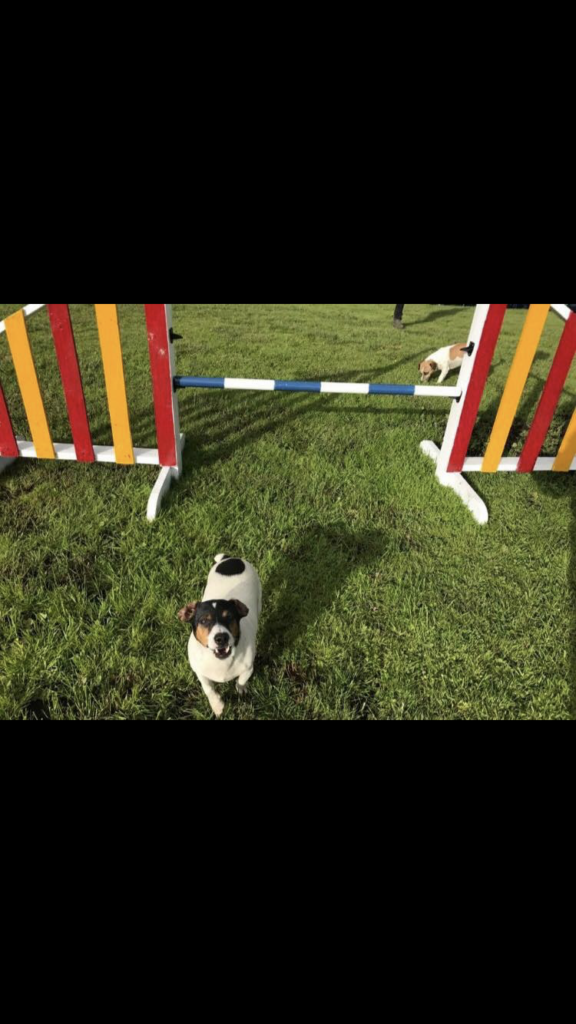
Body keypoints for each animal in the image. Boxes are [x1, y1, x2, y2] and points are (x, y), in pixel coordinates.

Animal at [178, 555, 262, 718]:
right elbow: (209, 689)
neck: (220, 662)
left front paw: (241, 688)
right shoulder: (200, 673)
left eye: (229, 617)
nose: (221, 638)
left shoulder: (249, 667)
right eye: (204, 621)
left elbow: (242, 679)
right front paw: (218, 706)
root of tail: (231, 558)